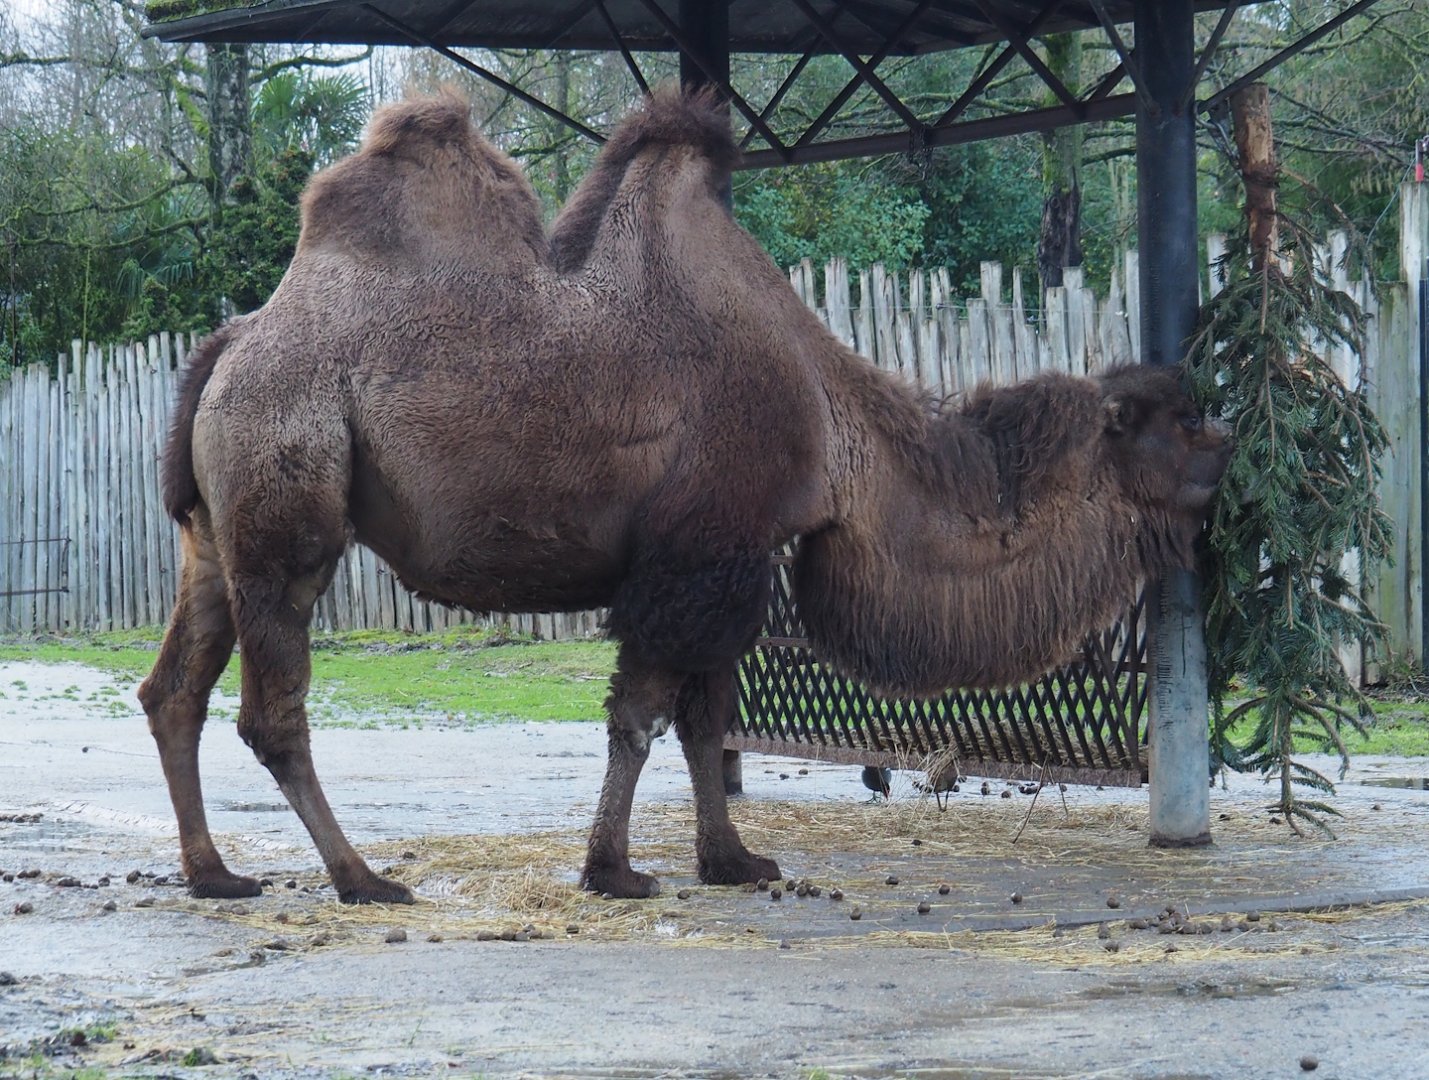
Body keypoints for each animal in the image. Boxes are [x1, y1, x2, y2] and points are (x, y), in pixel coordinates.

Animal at [139, 88, 1231, 904]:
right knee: (271, 710)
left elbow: (706, 719)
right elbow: (644, 715)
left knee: (173, 690)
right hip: (286, 508)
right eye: (1177, 421)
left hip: (211, 532)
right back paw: (361, 878)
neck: (832, 424)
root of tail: (229, 346)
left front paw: (732, 859)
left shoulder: (730, 555)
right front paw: (614, 869)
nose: (1229, 448)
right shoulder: (697, 553)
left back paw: (215, 874)